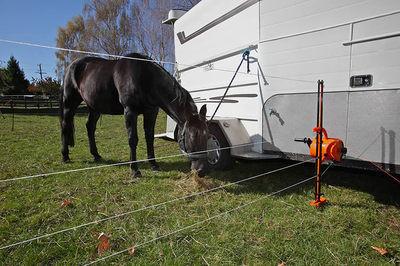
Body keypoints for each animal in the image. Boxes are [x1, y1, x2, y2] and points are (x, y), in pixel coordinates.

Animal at [60, 53, 209, 178]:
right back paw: (65, 156)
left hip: (95, 108)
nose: (201, 171)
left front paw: (154, 165)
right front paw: (135, 170)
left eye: (207, 135)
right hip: (69, 104)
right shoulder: (130, 111)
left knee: (90, 127)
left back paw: (96, 155)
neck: (143, 76)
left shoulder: (151, 112)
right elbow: (133, 139)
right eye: (191, 137)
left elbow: (149, 138)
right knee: (65, 125)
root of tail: (72, 66)